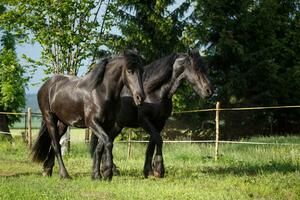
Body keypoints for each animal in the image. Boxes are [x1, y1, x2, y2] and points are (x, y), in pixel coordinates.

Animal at [31, 50, 145, 180]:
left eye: (142, 71)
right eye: (130, 71)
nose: (140, 97)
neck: (101, 92)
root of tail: (46, 85)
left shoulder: (107, 124)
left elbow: (100, 147)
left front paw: (96, 175)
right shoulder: (92, 123)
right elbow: (108, 142)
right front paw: (107, 173)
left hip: (63, 123)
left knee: (54, 143)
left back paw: (47, 170)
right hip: (49, 118)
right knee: (56, 145)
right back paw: (64, 174)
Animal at [91, 50, 213, 178]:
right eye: (196, 68)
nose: (210, 91)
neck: (155, 92)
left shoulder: (159, 123)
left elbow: (151, 144)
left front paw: (148, 171)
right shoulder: (145, 121)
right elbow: (158, 140)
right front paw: (159, 169)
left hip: (117, 125)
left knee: (104, 143)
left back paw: (111, 170)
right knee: (103, 143)